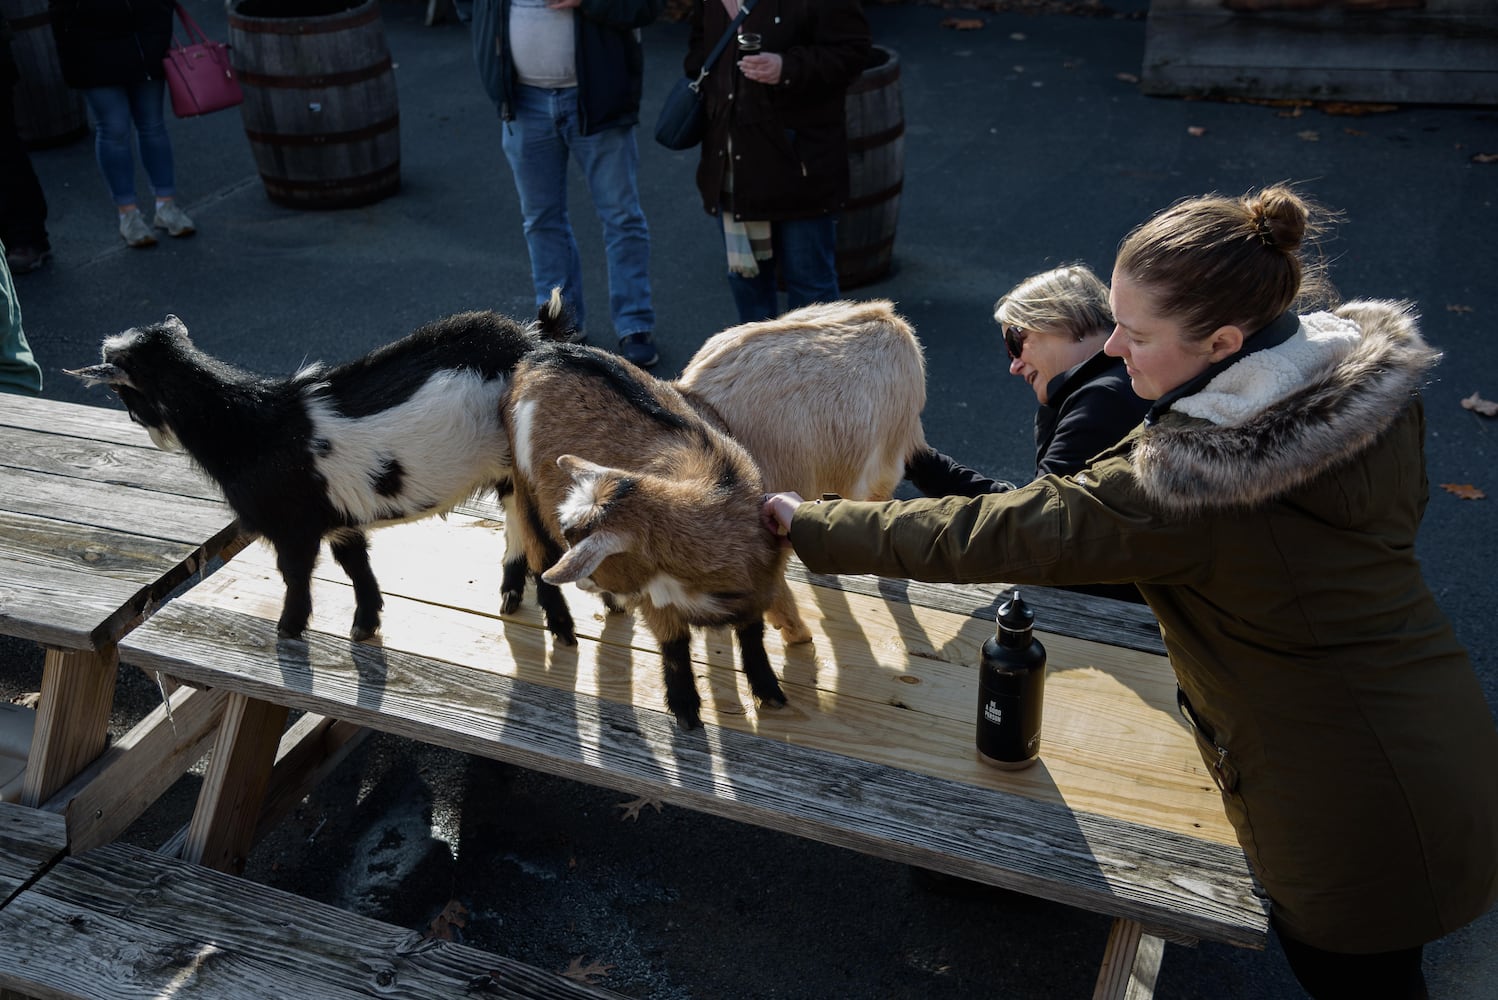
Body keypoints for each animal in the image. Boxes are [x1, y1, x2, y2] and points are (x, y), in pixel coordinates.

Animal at [64, 306, 569, 640]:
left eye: (126, 387)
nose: (139, 423)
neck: (249, 427)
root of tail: (529, 341)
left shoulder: (291, 525)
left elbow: (295, 574)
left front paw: (288, 630)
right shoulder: (340, 515)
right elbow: (355, 565)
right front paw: (365, 624)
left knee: (537, 535)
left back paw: (554, 621)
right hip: (508, 476)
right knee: (516, 525)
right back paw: (510, 592)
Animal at [503, 341, 790, 727]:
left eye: (594, 560)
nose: (584, 583)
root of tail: (544, 352)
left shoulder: (759, 588)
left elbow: (752, 635)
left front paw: (769, 690)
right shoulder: (656, 598)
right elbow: (674, 645)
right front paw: (685, 708)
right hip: (527, 487)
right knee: (537, 551)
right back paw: (562, 626)